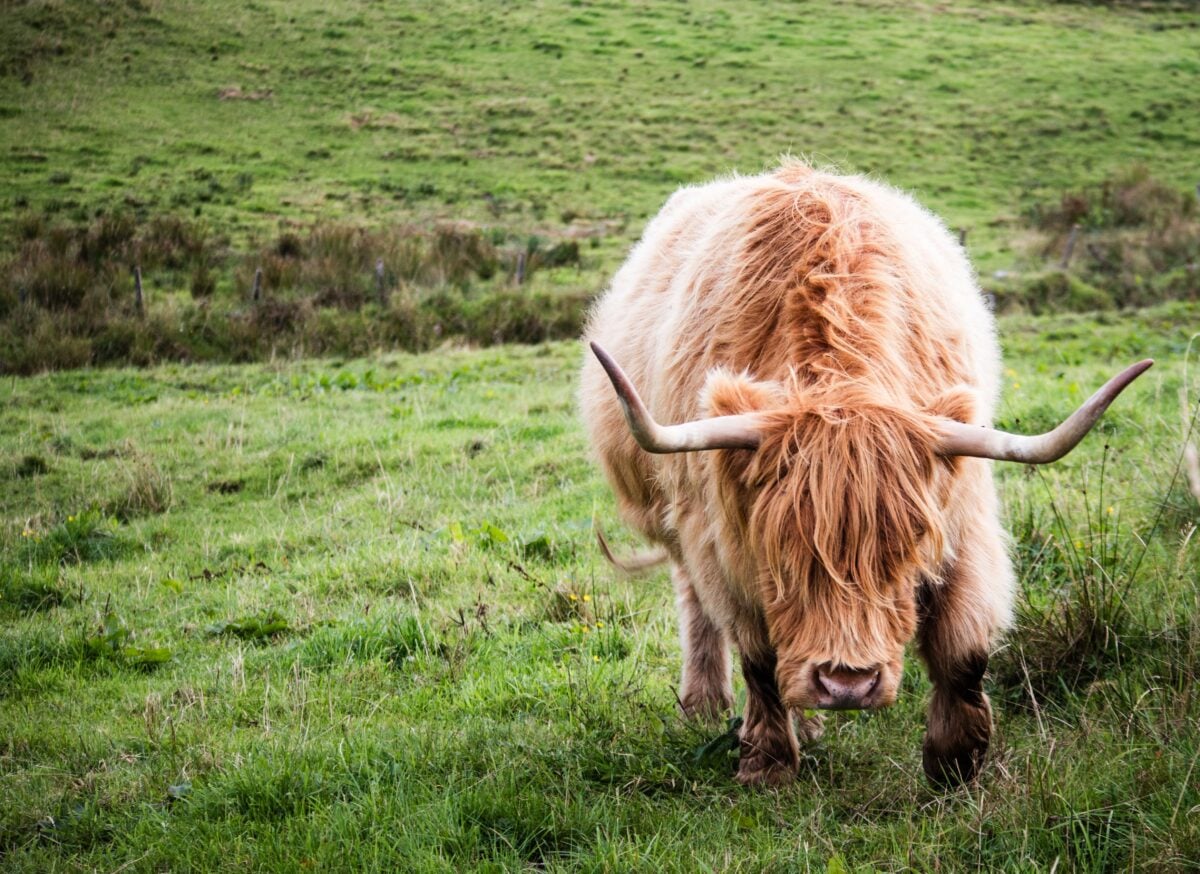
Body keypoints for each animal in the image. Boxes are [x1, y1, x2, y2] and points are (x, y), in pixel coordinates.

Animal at [578, 161, 1151, 788]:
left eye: (907, 546)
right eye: (784, 552)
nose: (847, 684)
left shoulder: (964, 516)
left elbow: (963, 649)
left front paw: (956, 763)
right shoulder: (721, 536)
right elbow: (758, 657)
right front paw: (767, 765)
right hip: (677, 520)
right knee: (698, 605)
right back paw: (706, 705)